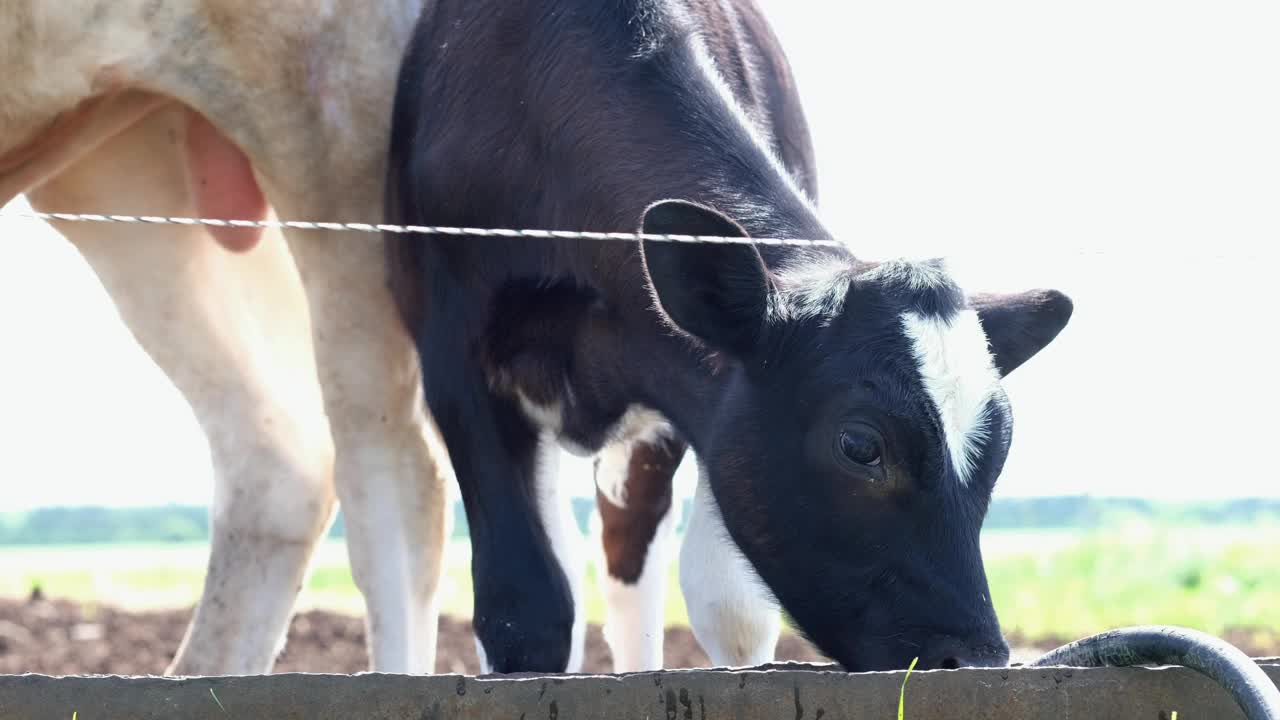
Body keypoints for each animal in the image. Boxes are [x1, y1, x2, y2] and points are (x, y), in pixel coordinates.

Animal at [381, 0, 1070, 671]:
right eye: (859, 445)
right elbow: (525, 612)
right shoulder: (454, 364)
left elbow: (731, 610)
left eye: (1000, 448)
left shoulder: (692, 393)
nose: (978, 658)